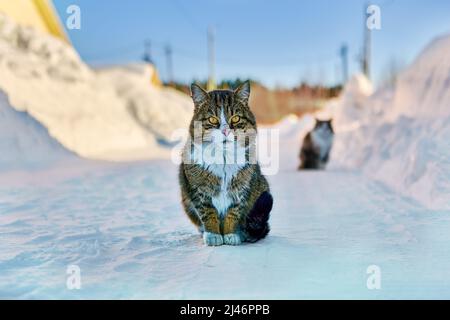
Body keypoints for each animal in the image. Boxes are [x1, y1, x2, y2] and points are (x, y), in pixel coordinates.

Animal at [178, 81, 270, 246]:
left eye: (236, 118)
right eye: (213, 120)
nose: (226, 131)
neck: (224, 157)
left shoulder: (241, 189)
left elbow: (233, 213)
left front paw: (230, 234)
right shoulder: (199, 190)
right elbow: (208, 213)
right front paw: (213, 235)